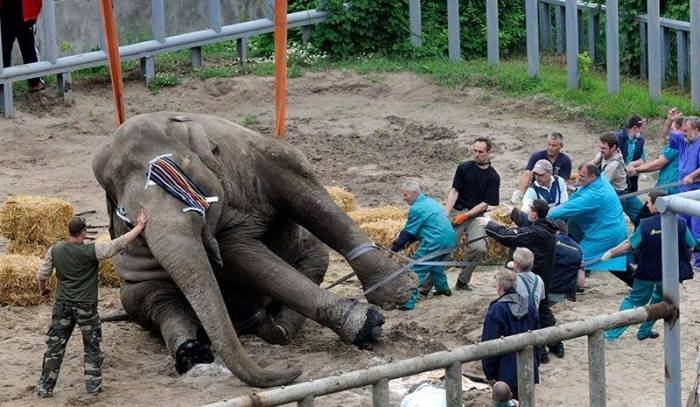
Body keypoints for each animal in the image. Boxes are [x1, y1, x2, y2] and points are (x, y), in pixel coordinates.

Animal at [91, 111, 416, 388]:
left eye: (178, 179)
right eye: (124, 216)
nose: (293, 370)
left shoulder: (260, 157)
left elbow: (306, 197)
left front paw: (398, 297)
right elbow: (241, 256)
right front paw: (369, 324)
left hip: (309, 252)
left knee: (315, 260)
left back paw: (274, 329)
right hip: (134, 290)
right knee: (158, 301)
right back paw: (200, 350)